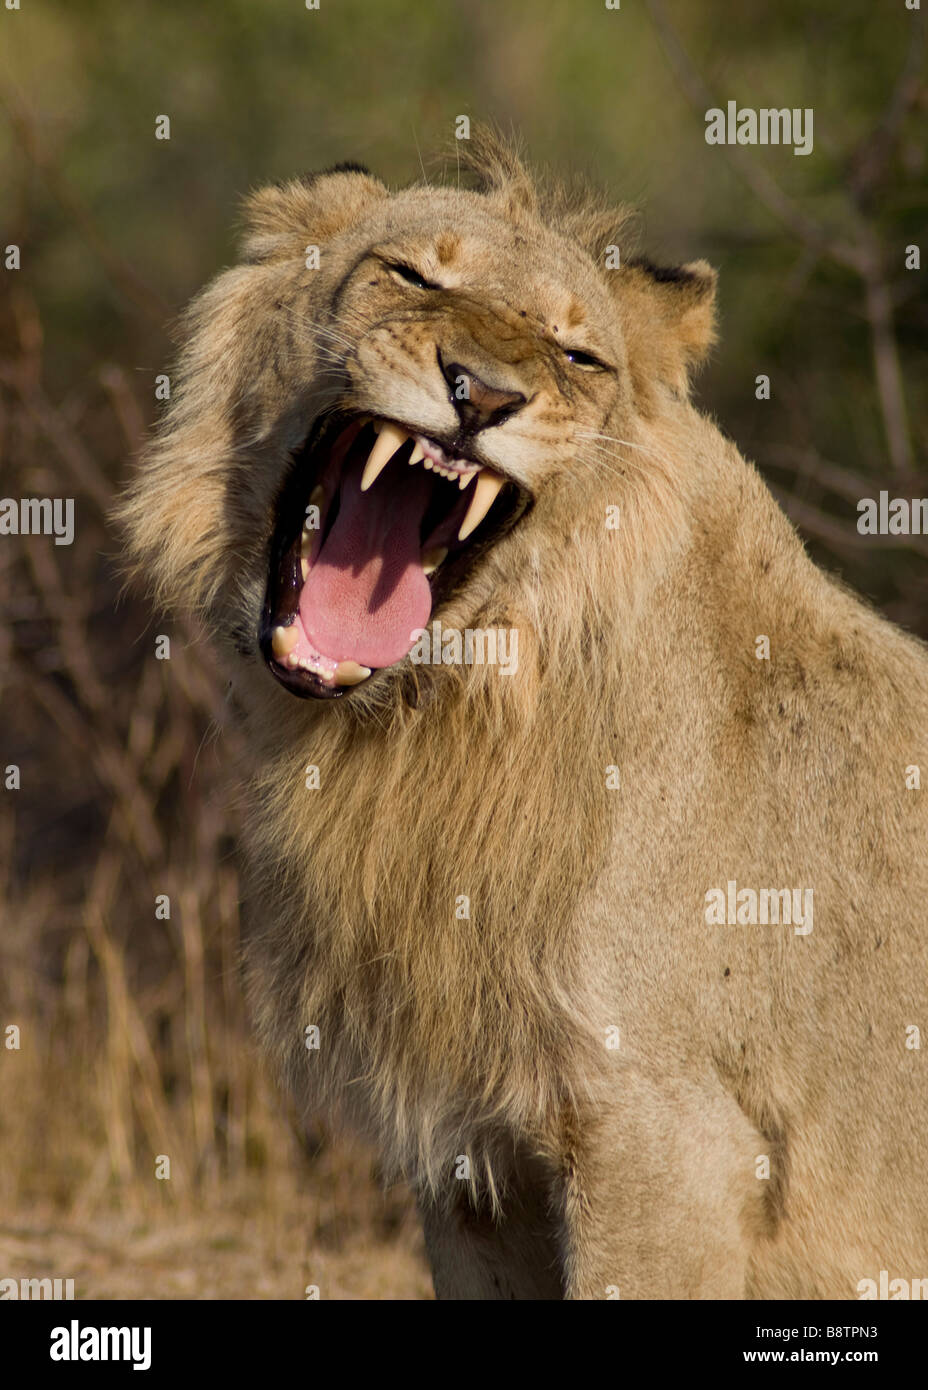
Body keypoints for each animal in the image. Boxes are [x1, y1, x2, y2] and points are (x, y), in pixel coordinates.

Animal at [116, 129, 928, 1299]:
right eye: (412, 275)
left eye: (577, 357)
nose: (482, 396)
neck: (443, 719)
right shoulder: (478, 1159)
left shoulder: (670, 1136)